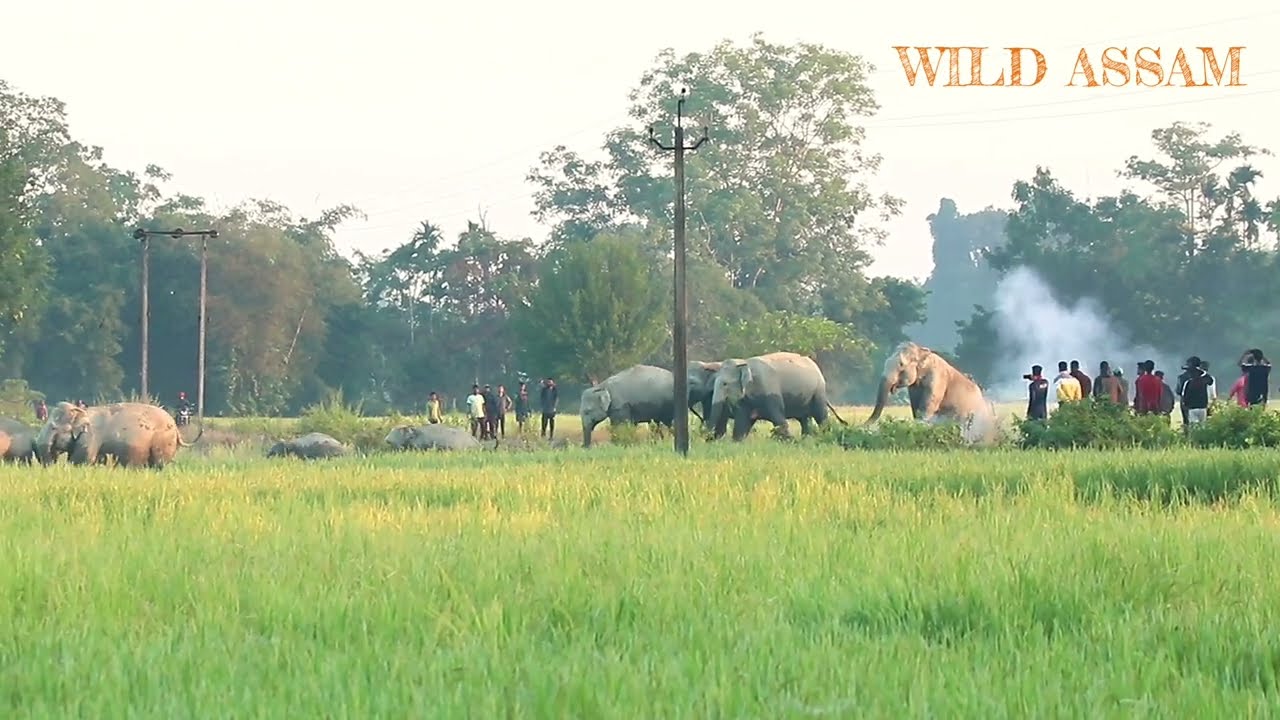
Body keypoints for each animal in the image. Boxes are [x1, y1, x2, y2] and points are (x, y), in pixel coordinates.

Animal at [34, 401, 202, 469]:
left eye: (53, 428)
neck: (82, 412)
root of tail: (176, 428)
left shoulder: (90, 437)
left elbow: (81, 461)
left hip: (162, 442)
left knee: (158, 464)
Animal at [707, 351, 847, 441]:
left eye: (725, 384)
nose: (709, 439)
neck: (744, 362)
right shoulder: (745, 400)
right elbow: (742, 421)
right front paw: (737, 440)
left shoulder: (770, 389)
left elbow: (778, 417)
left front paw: (790, 440)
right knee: (804, 419)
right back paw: (806, 438)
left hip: (818, 391)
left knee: (820, 415)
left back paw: (824, 436)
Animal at [865, 341, 996, 442]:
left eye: (901, 365)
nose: (864, 426)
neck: (921, 351)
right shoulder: (914, 388)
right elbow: (916, 408)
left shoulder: (937, 380)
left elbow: (926, 408)